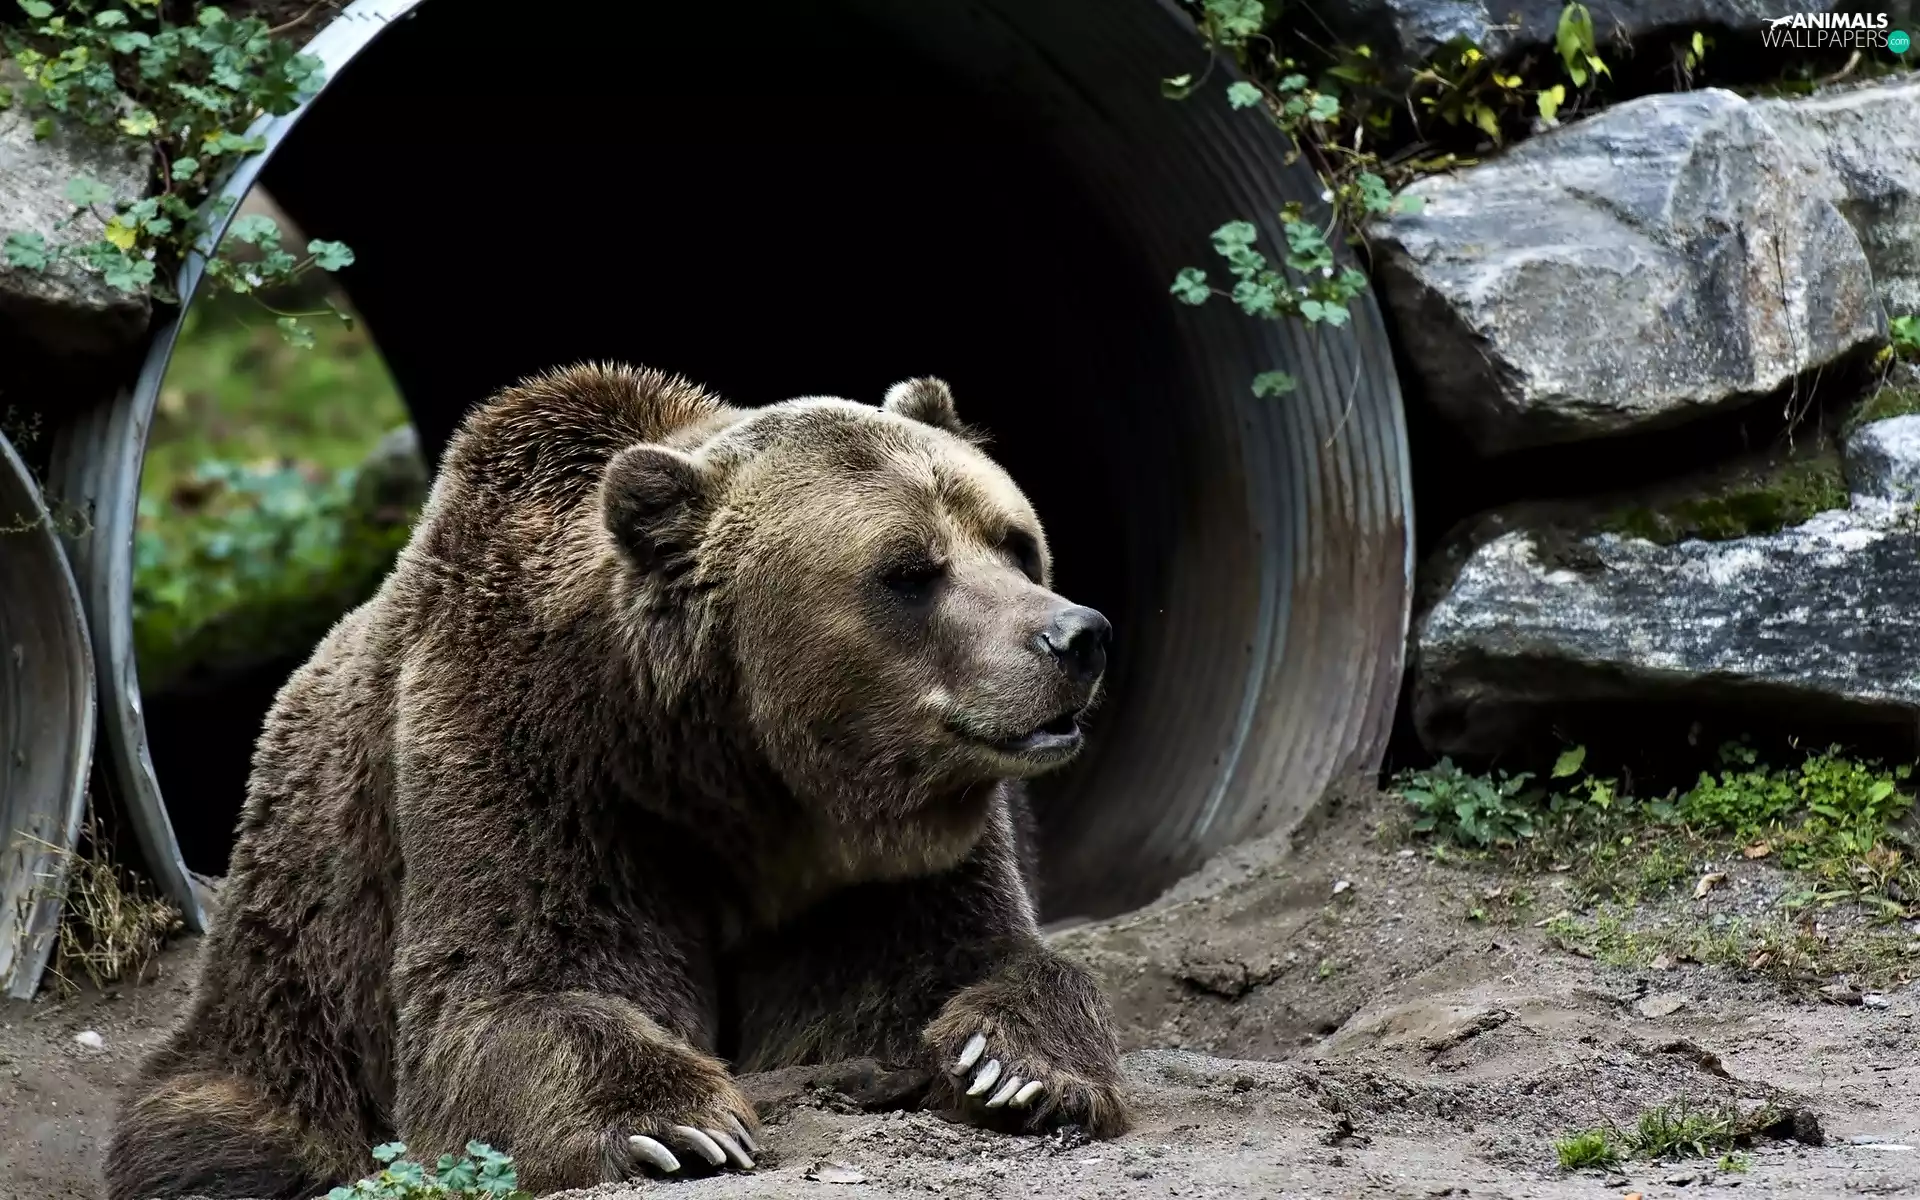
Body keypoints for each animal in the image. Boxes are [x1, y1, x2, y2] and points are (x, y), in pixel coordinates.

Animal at [104, 363, 1130, 1199]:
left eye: (1016, 542)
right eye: (909, 570)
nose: (1075, 636)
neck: (739, 777)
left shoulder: (879, 865)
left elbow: (953, 960)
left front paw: (1017, 1065)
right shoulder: (536, 762)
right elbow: (515, 989)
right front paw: (674, 1123)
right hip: (298, 959)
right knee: (230, 1122)